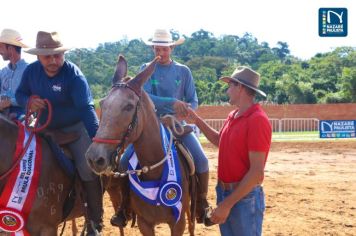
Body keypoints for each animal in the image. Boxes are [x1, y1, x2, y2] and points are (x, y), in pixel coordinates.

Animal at [86, 55, 195, 236]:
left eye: (129, 106)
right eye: (102, 103)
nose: (95, 158)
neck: (155, 172)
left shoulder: (178, 223)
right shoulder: (145, 223)